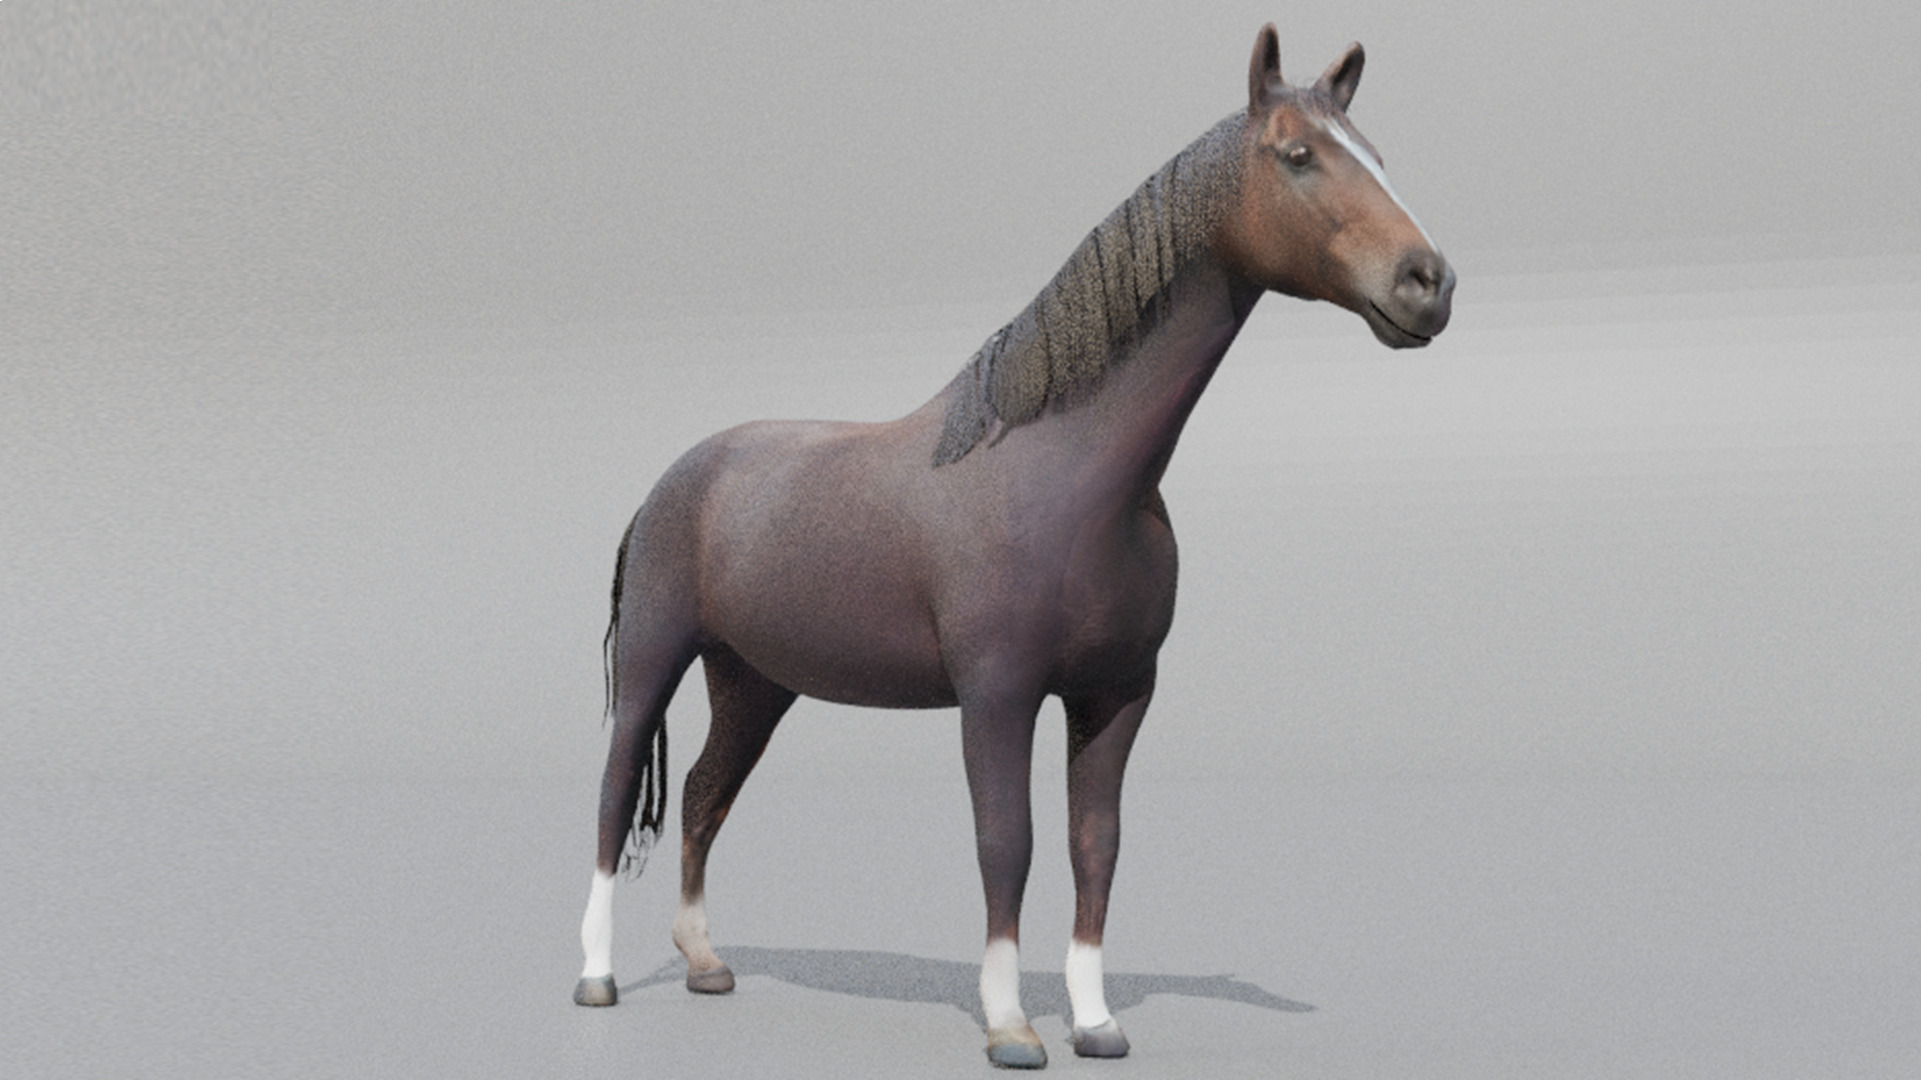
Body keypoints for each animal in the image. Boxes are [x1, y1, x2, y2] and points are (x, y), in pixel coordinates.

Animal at [573, 23, 1454, 1069]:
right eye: (1296, 155)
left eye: (1378, 156)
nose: (1429, 284)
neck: (1071, 477)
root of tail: (674, 479)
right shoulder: (997, 697)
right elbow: (1008, 841)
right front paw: (1010, 1026)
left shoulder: (1116, 695)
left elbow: (1093, 843)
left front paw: (1097, 1023)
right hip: (655, 663)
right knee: (615, 792)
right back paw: (595, 978)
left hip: (755, 683)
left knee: (706, 795)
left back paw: (707, 963)